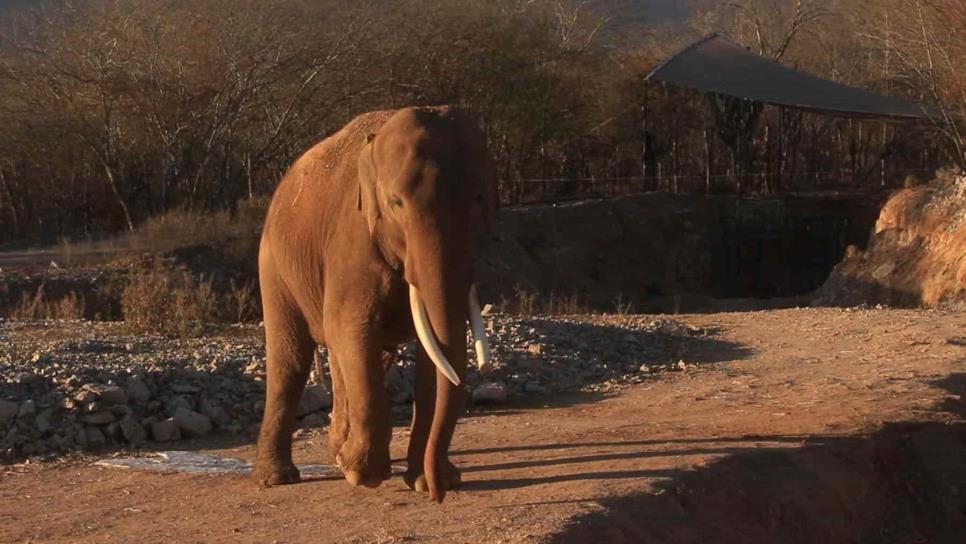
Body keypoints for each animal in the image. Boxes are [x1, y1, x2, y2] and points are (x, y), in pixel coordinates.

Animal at [253, 105, 500, 502]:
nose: (438, 496)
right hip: (274, 264)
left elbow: (436, 354)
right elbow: (352, 330)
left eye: (479, 200)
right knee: (291, 358)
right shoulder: (353, 240)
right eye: (395, 204)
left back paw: (338, 452)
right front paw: (364, 474)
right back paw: (280, 477)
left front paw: (428, 480)